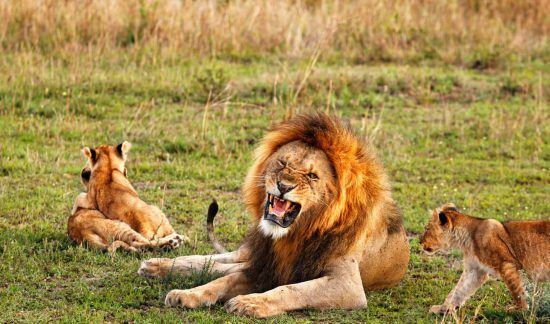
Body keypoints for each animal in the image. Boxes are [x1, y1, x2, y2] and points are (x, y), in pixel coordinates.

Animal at [140, 114, 412, 316]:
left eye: (312, 176)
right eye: (282, 163)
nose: (284, 185)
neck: (295, 234)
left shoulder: (348, 285)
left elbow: (291, 289)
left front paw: (249, 303)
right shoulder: (266, 267)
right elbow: (222, 281)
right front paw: (186, 294)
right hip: (253, 253)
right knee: (214, 262)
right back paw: (155, 266)